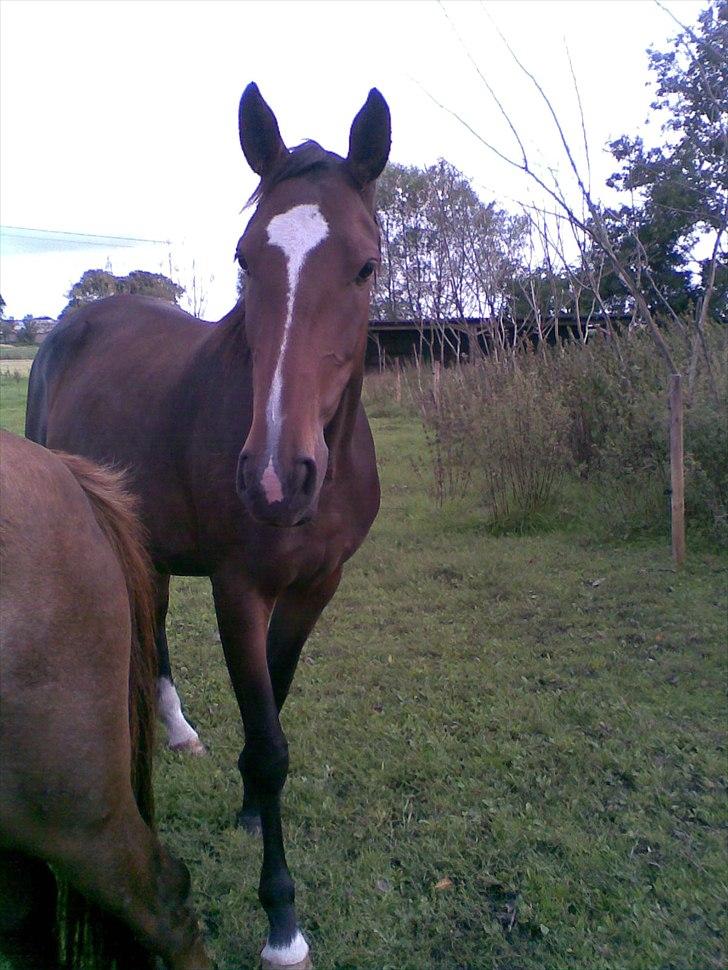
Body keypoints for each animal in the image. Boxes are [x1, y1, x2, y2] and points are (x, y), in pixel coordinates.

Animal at [27, 83, 392, 968]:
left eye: (365, 265)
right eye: (245, 258)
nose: (274, 477)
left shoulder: (316, 587)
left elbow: (275, 710)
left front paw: (252, 810)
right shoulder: (239, 589)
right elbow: (268, 742)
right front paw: (282, 922)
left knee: (153, 620)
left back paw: (180, 729)